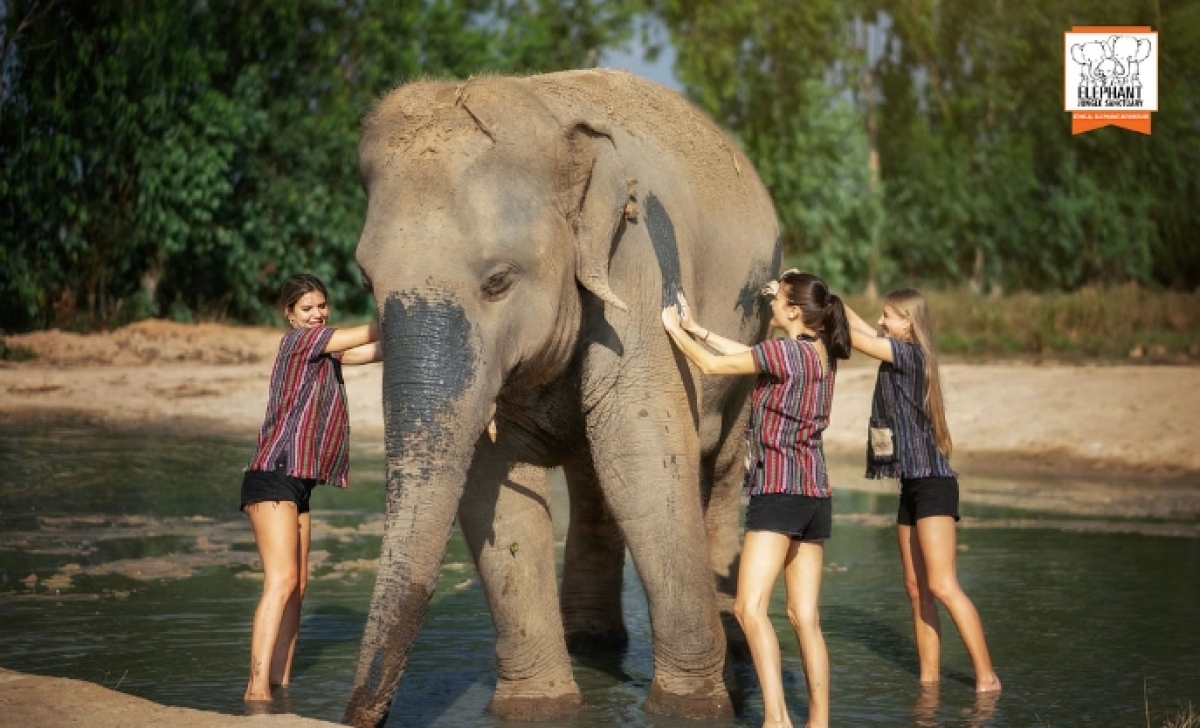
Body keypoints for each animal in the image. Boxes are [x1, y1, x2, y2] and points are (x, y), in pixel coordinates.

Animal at [344, 69, 780, 727]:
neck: (550, 118)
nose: (357, 715)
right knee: (593, 480)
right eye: (367, 281)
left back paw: (732, 651)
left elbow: (645, 466)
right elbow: (494, 489)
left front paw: (691, 709)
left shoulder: (636, 266)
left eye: (498, 281)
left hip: (749, 343)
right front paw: (539, 708)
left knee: (720, 469)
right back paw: (591, 643)